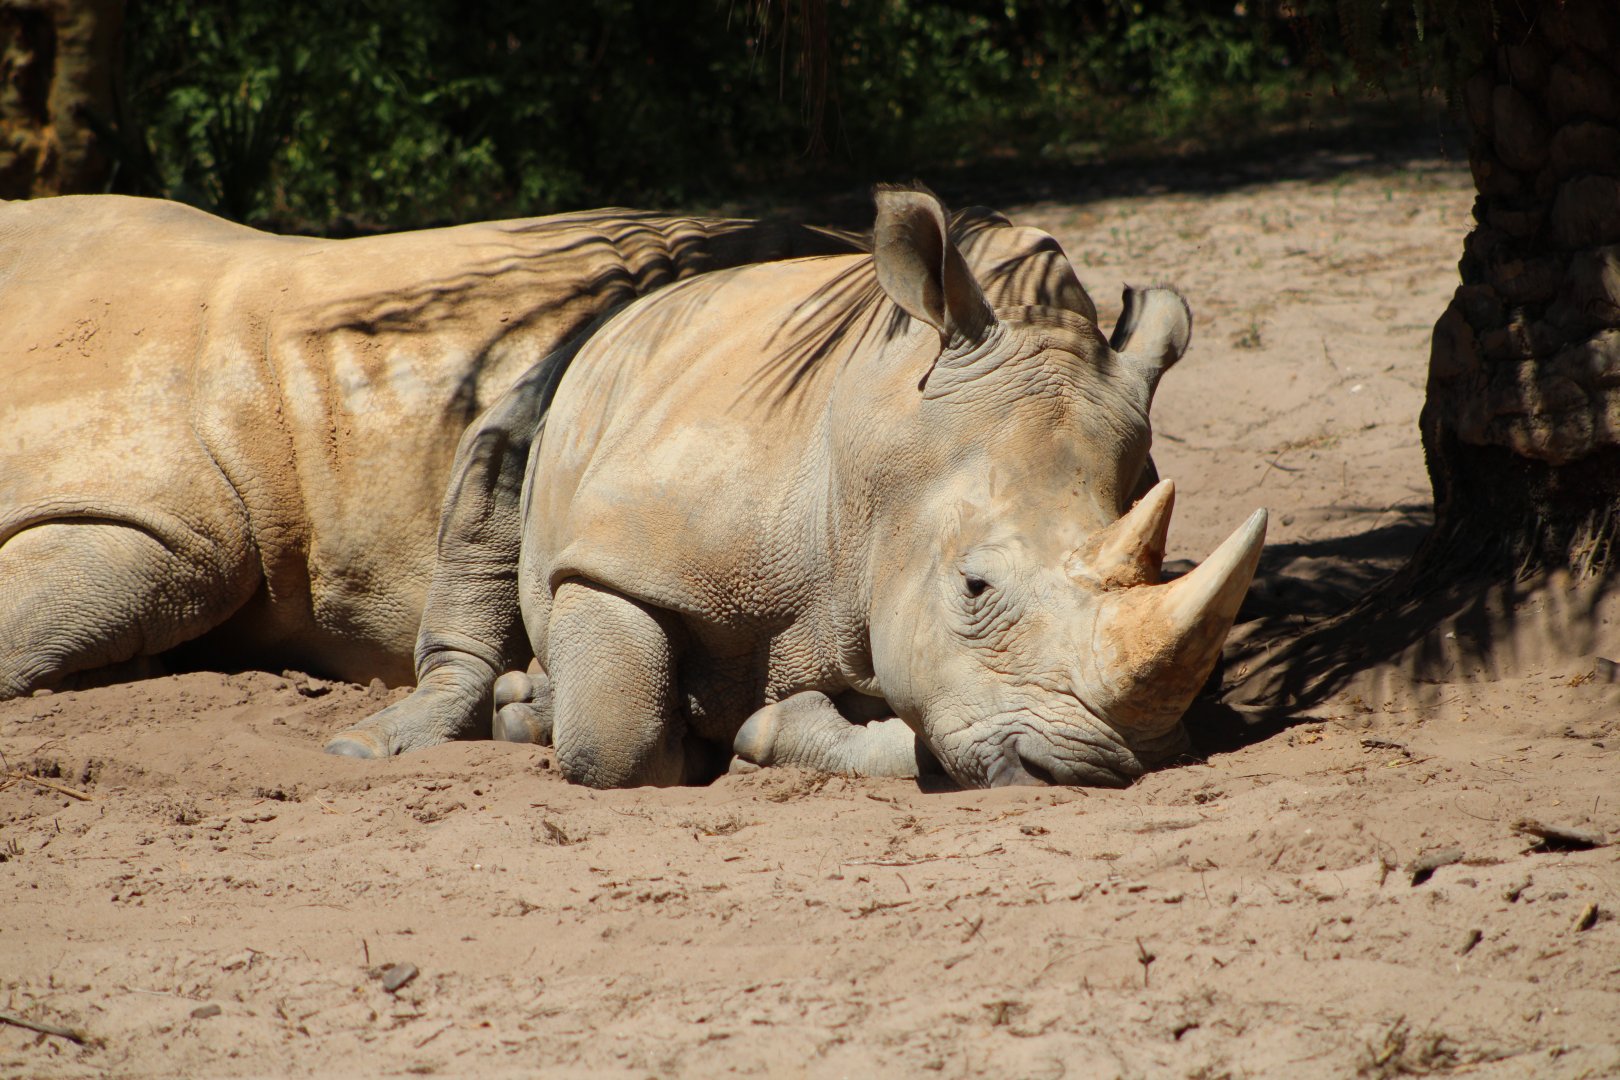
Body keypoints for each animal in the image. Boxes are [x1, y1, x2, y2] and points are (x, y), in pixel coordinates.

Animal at [328, 187, 1266, 788]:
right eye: (974, 586)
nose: (1095, 767)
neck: (874, 463)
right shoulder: (621, 552)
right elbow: (615, 739)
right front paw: (674, 739)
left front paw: (763, 727)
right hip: (559, 358)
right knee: (493, 464)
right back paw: (394, 743)